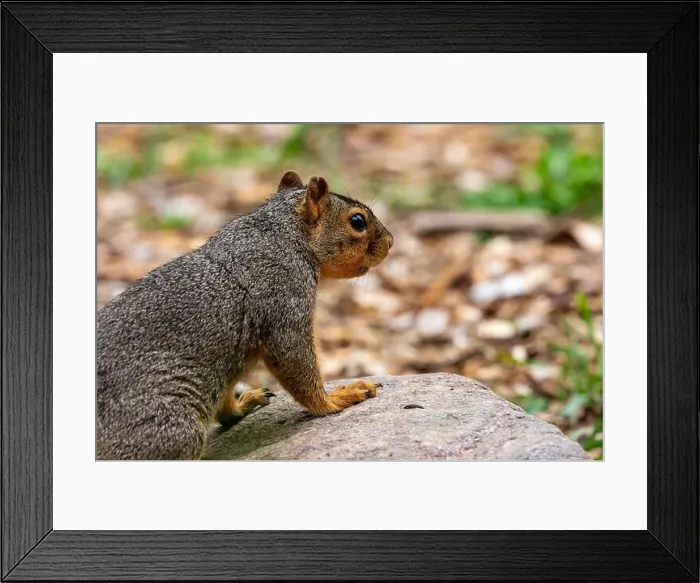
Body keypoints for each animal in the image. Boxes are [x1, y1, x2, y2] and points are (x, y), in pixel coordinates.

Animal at [97, 171, 394, 460]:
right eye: (357, 221)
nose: (391, 242)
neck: (283, 233)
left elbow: (226, 398)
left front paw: (241, 406)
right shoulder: (283, 296)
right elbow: (295, 361)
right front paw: (336, 399)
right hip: (169, 427)